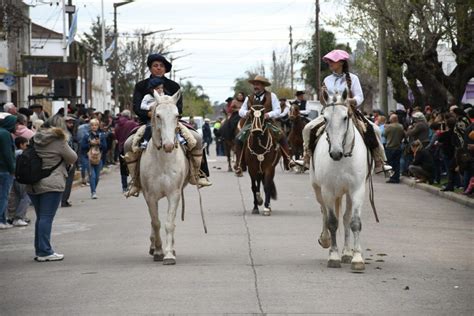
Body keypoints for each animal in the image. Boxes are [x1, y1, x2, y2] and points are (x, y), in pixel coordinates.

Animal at [142, 90, 190, 266]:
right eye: (157, 115)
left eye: (177, 115)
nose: (168, 145)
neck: (163, 160)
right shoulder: (150, 196)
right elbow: (156, 223)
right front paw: (158, 251)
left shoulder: (174, 194)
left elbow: (169, 223)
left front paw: (169, 254)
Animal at [312, 89, 370, 272]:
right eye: (325, 118)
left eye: (346, 117)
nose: (335, 153)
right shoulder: (328, 191)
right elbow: (332, 222)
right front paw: (333, 256)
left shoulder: (357, 190)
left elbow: (354, 222)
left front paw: (357, 258)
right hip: (318, 190)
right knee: (324, 211)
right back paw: (325, 240)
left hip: (348, 193)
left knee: (346, 218)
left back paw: (347, 252)